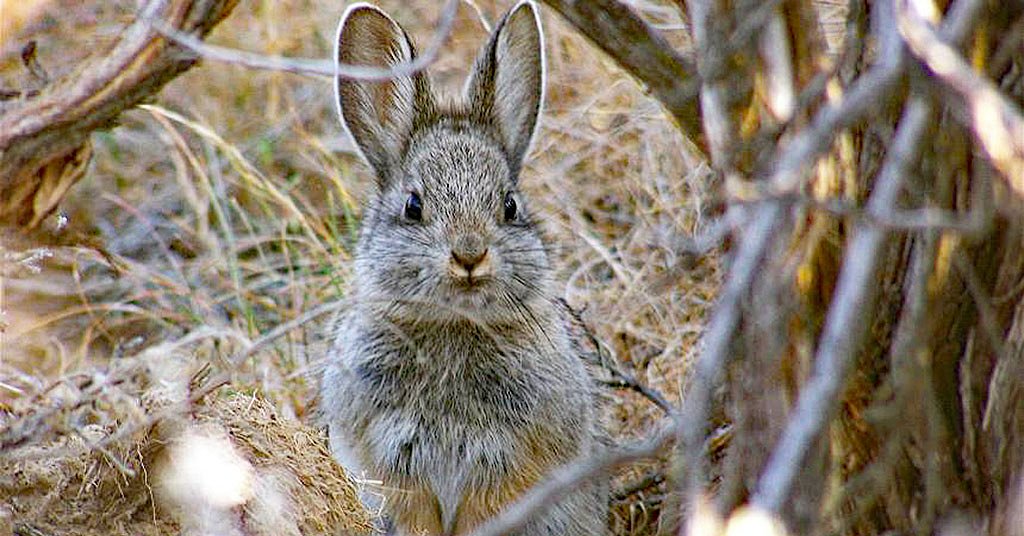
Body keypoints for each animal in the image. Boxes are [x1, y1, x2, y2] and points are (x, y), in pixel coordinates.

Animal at [319, 1, 608, 535]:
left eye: (510, 206)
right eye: (413, 206)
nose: (470, 255)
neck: (455, 323)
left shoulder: (512, 460)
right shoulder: (391, 460)